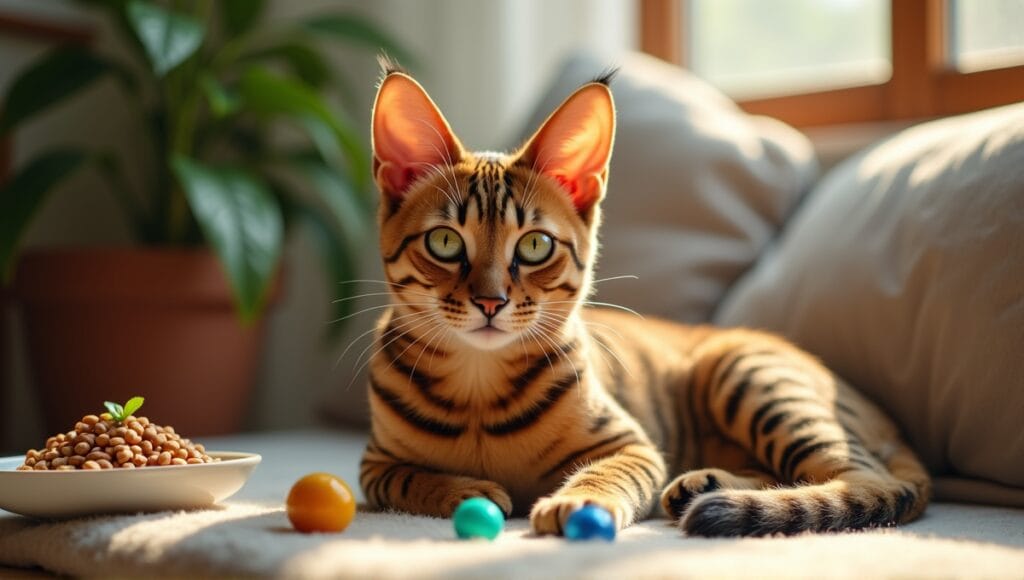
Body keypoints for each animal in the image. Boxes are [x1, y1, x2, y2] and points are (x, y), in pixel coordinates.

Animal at [360, 61, 929, 536]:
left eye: (535, 245)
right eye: (445, 241)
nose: (491, 302)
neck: (478, 385)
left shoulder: (634, 447)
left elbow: (609, 475)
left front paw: (578, 503)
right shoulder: (374, 464)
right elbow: (407, 478)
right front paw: (462, 490)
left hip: (748, 372)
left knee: (865, 481)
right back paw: (705, 484)